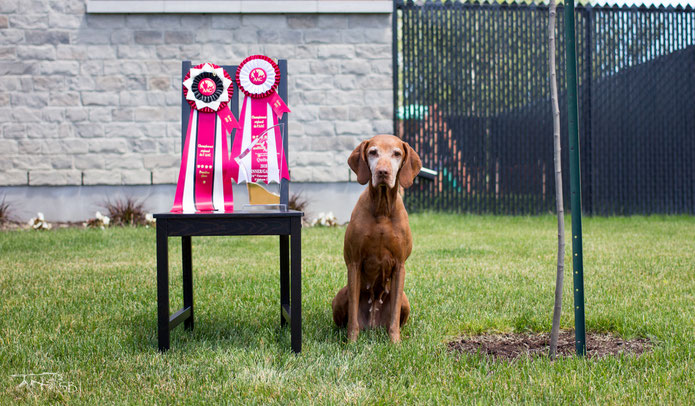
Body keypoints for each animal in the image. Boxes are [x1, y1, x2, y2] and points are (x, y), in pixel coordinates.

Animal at [334, 134, 424, 342]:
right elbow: (353, 316)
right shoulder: (354, 263)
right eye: (373, 152)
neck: (382, 209)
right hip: (340, 296)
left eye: (397, 153)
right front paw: (351, 343)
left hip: (406, 300)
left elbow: (394, 316)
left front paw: (395, 342)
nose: (383, 172)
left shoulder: (399, 265)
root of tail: (373, 324)